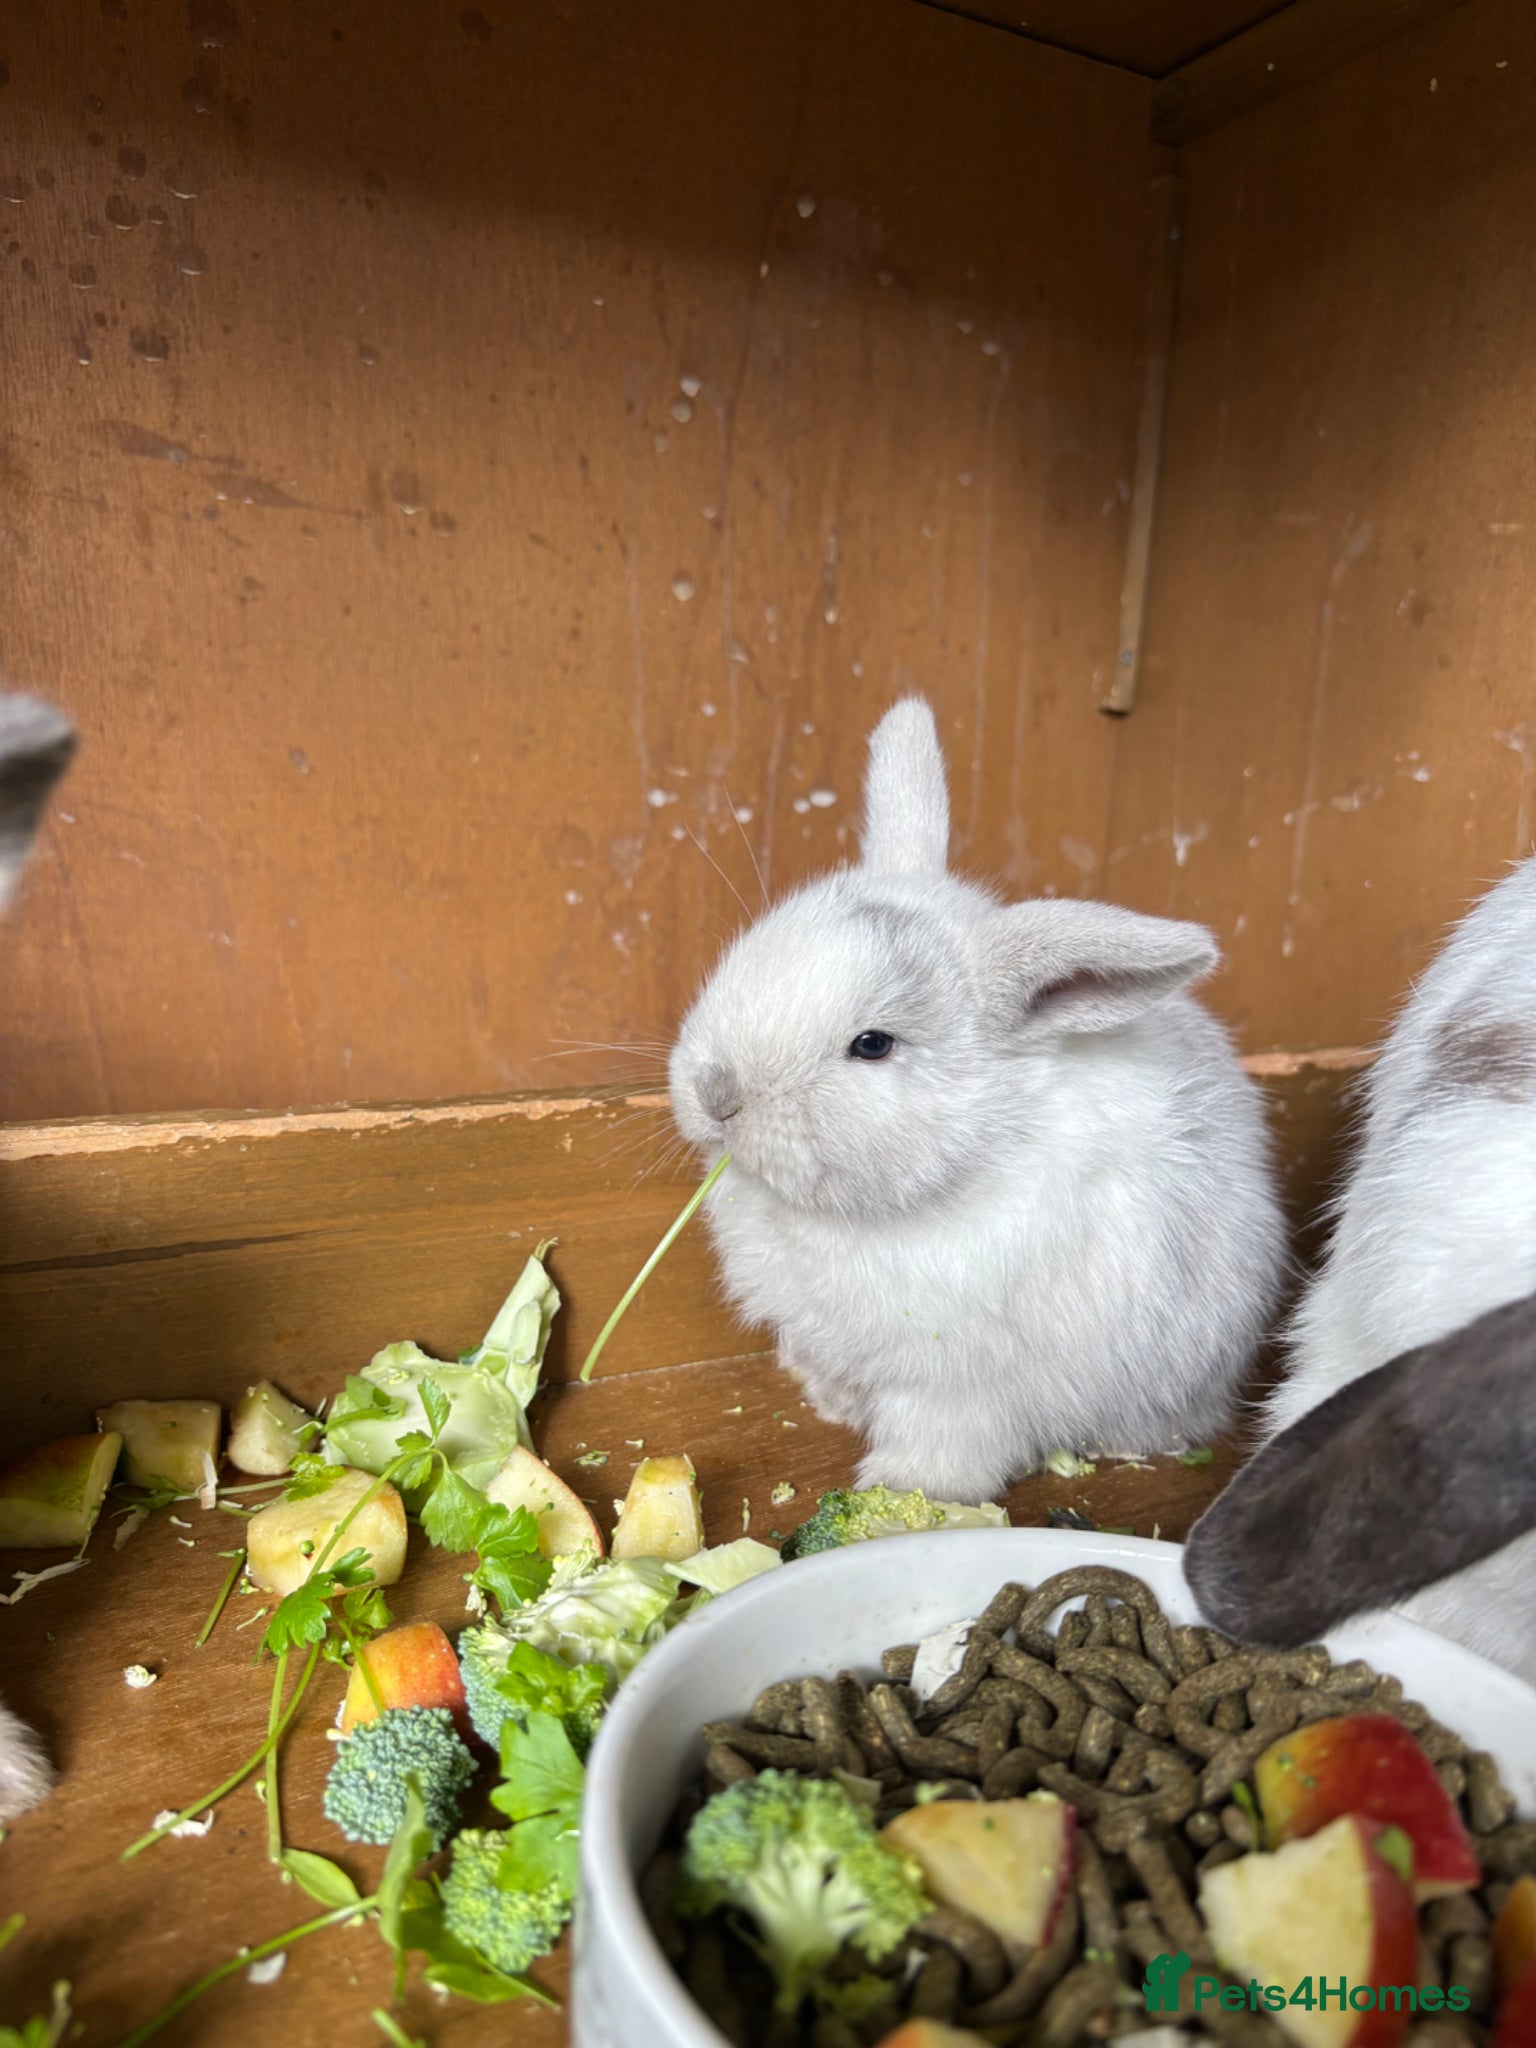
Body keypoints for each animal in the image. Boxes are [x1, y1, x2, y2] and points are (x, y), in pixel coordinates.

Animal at [668, 697, 1287, 1503]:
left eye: (873, 1045)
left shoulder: (960, 1389)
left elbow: (941, 1441)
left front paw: (903, 1490)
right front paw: (828, 1403)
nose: (717, 1094)